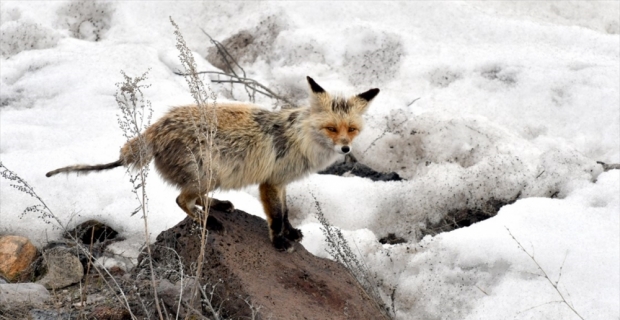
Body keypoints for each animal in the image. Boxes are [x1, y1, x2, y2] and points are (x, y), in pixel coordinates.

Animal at [47, 76, 378, 251]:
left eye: (351, 129)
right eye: (331, 128)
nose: (346, 148)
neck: (299, 138)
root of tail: (157, 127)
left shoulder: (281, 182)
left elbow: (285, 213)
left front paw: (292, 232)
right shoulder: (270, 183)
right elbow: (275, 217)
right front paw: (279, 241)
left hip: (212, 176)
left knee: (193, 198)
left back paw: (216, 207)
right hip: (208, 173)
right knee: (181, 199)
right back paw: (207, 221)